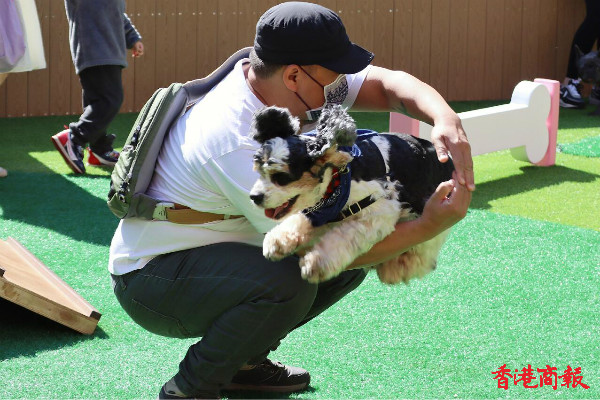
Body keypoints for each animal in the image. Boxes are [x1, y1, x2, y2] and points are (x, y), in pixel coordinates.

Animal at [249, 105, 455, 284]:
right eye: (259, 171)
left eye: (281, 177)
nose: (254, 197)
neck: (338, 179)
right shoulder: (321, 212)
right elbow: (300, 220)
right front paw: (278, 241)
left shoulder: (380, 211)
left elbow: (344, 237)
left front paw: (315, 263)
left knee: (428, 243)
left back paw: (399, 266)